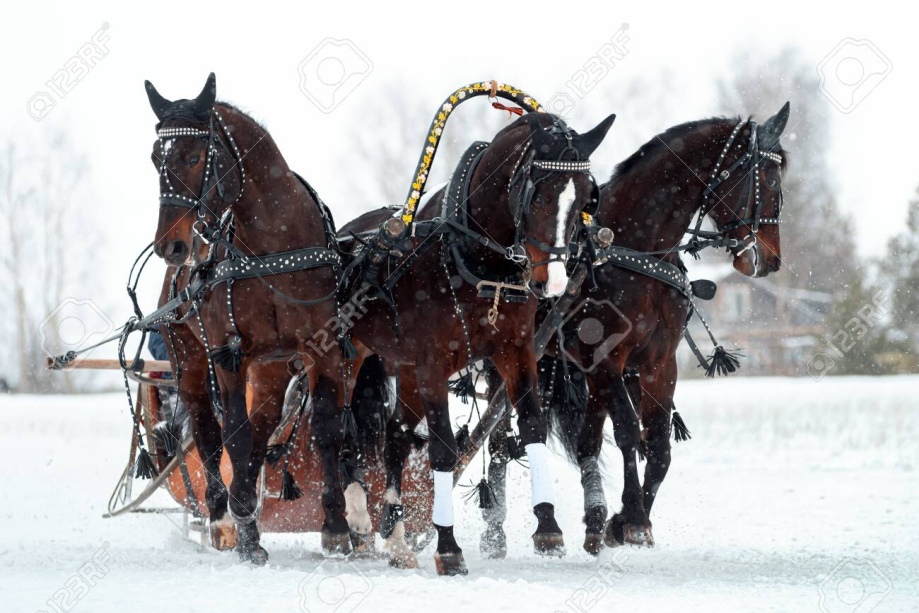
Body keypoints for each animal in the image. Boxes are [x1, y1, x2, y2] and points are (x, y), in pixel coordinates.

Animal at [146, 74, 358, 560]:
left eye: (194, 156)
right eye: (155, 158)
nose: (171, 245)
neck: (269, 246)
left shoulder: (321, 346)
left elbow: (325, 429)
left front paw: (336, 526)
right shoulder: (228, 353)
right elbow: (234, 435)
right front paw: (246, 530)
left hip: (272, 366)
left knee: (263, 430)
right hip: (189, 358)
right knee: (208, 431)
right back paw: (224, 517)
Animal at [342, 111, 616, 572]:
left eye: (584, 200)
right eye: (537, 195)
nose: (553, 283)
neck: (474, 256)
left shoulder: (515, 352)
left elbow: (531, 425)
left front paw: (547, 525)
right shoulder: (432, 364)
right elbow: (443, 450)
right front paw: (448, 545)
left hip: (406, 370)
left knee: (395, 436)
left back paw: (395, 537)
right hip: (346, 359)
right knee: (336, 428)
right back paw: (352, 518)